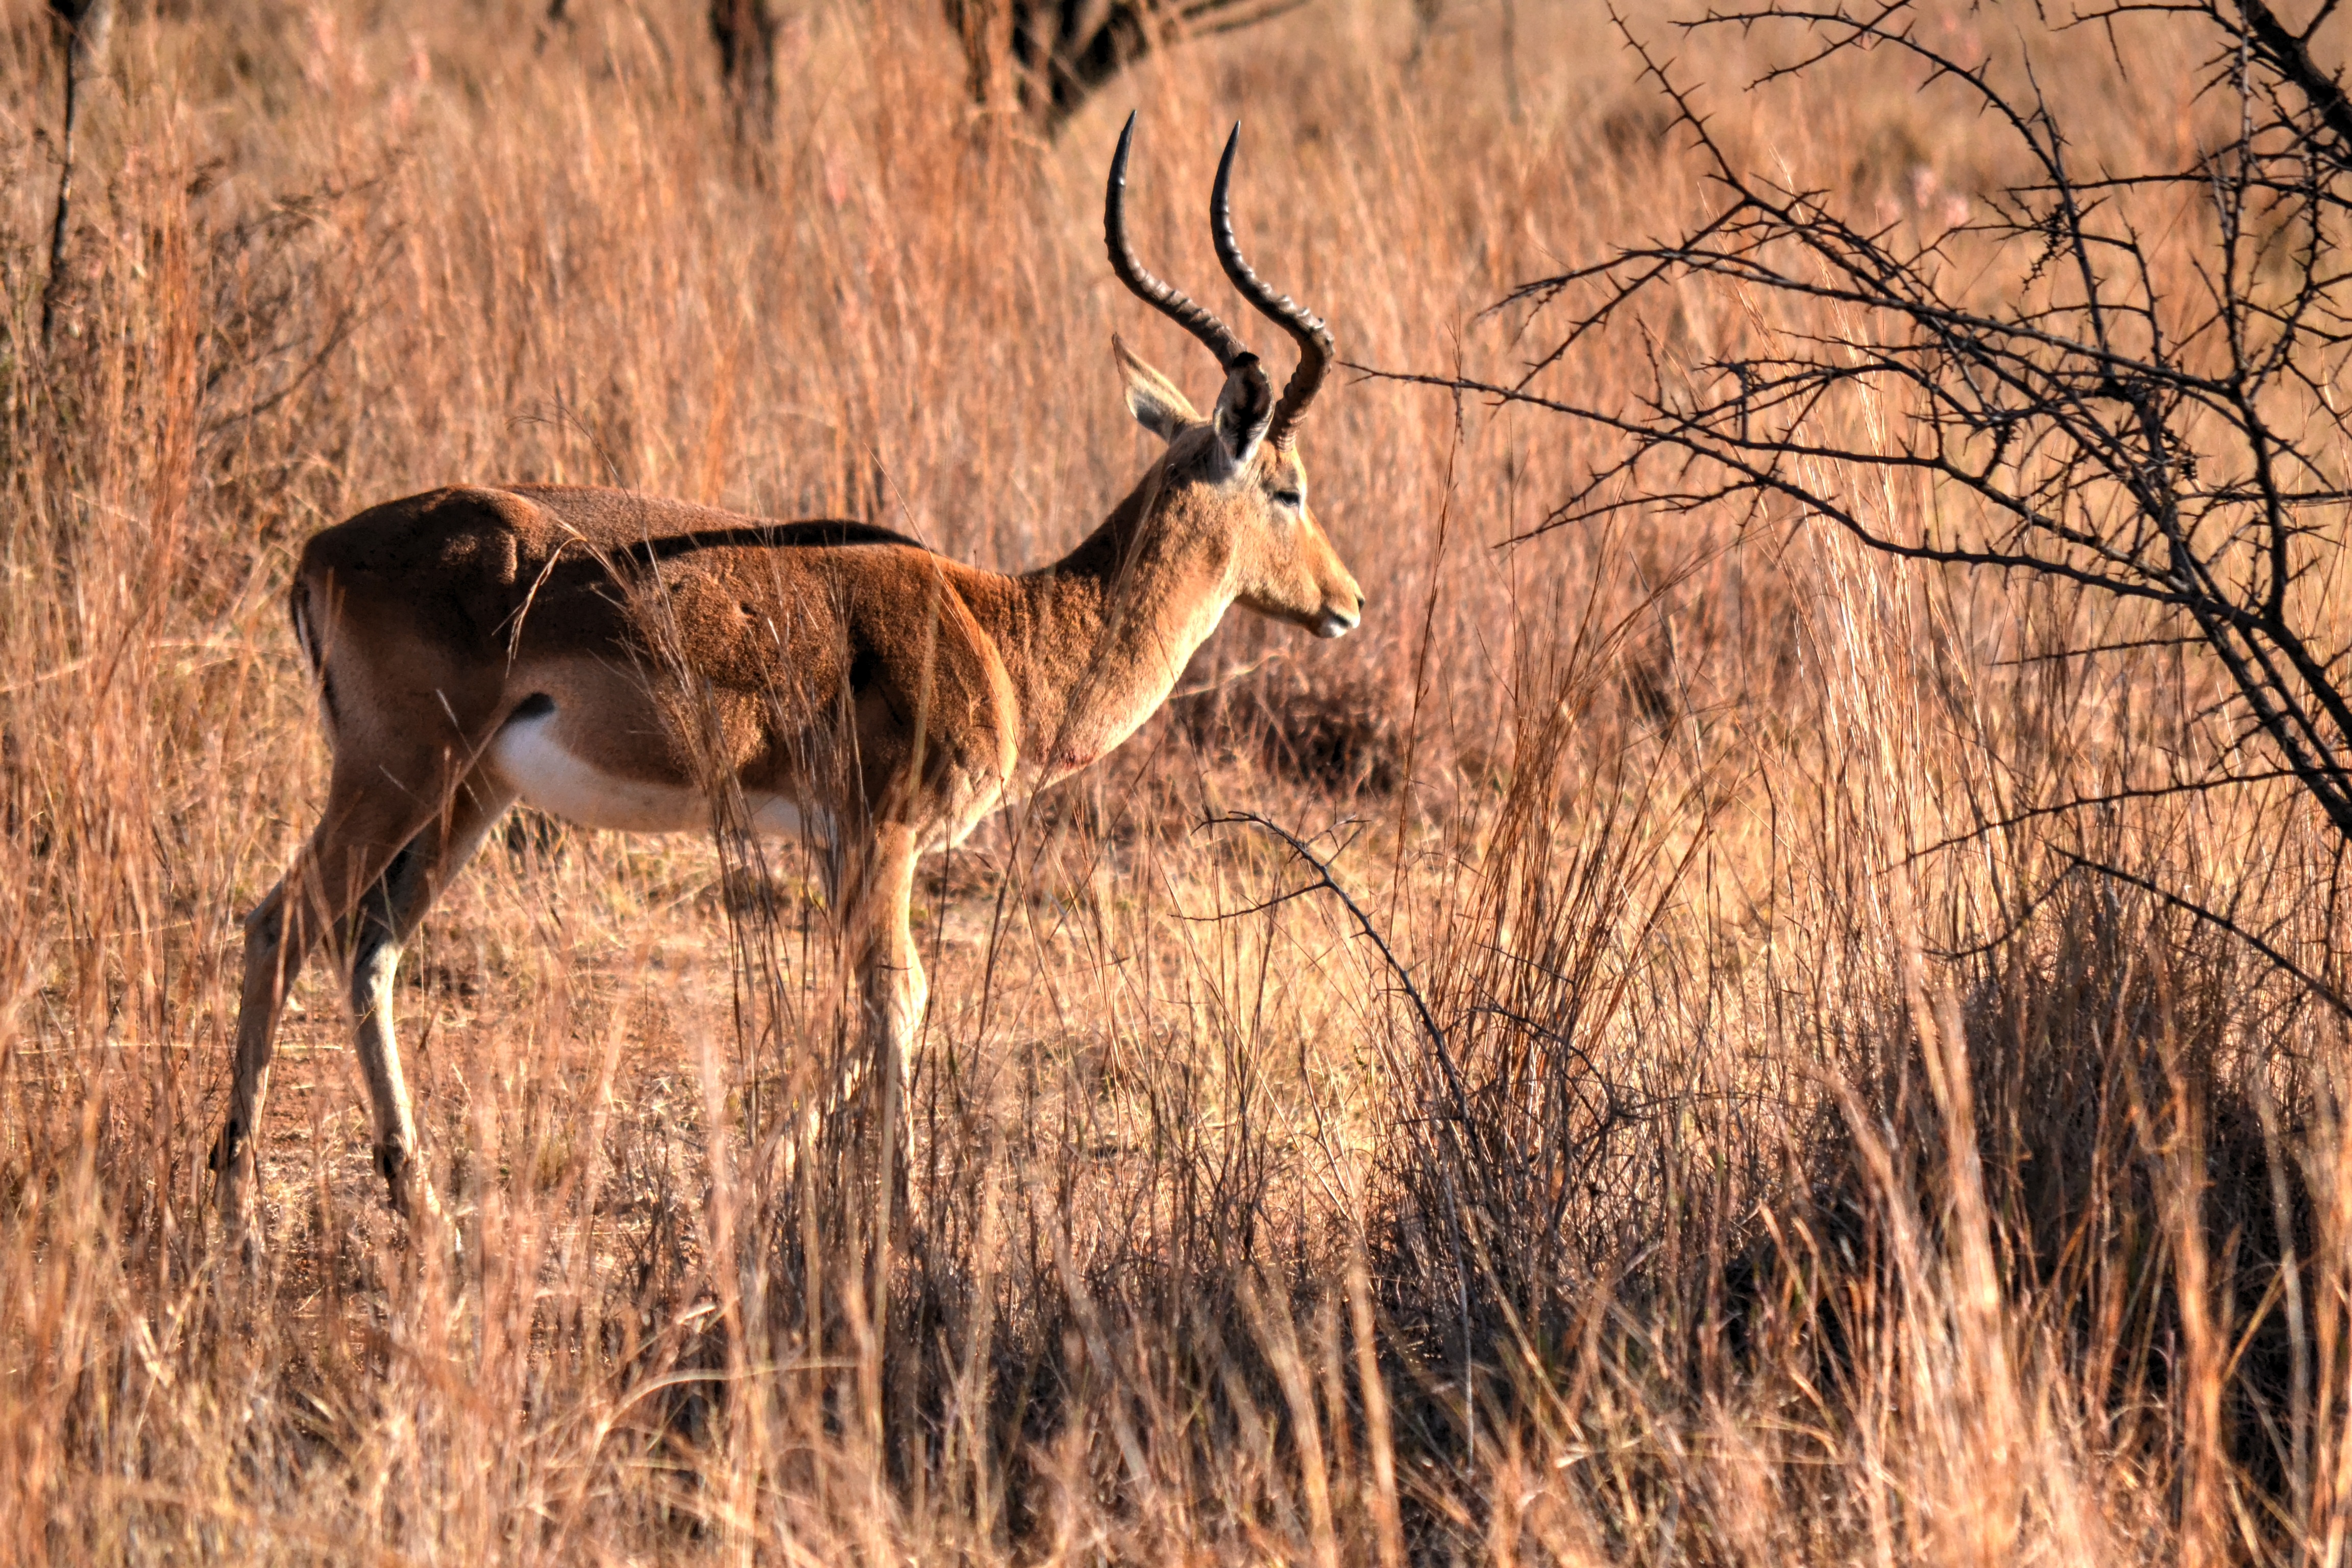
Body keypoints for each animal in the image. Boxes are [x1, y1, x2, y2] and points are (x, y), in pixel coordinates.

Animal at [218, 119, 1374, 1241]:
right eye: (1289, 487)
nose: (1348, 602)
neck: (1004, 631)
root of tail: (321, 549)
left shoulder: (836, 845)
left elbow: (847, 1017)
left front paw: (740, 1193)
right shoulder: (886, 834)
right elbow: (899, 1001)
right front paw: (910, 1229)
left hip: (472, 793)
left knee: (368, 947)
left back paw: (421, 1206)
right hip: (397, 772)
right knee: (278, 924)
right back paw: (237, 1221)